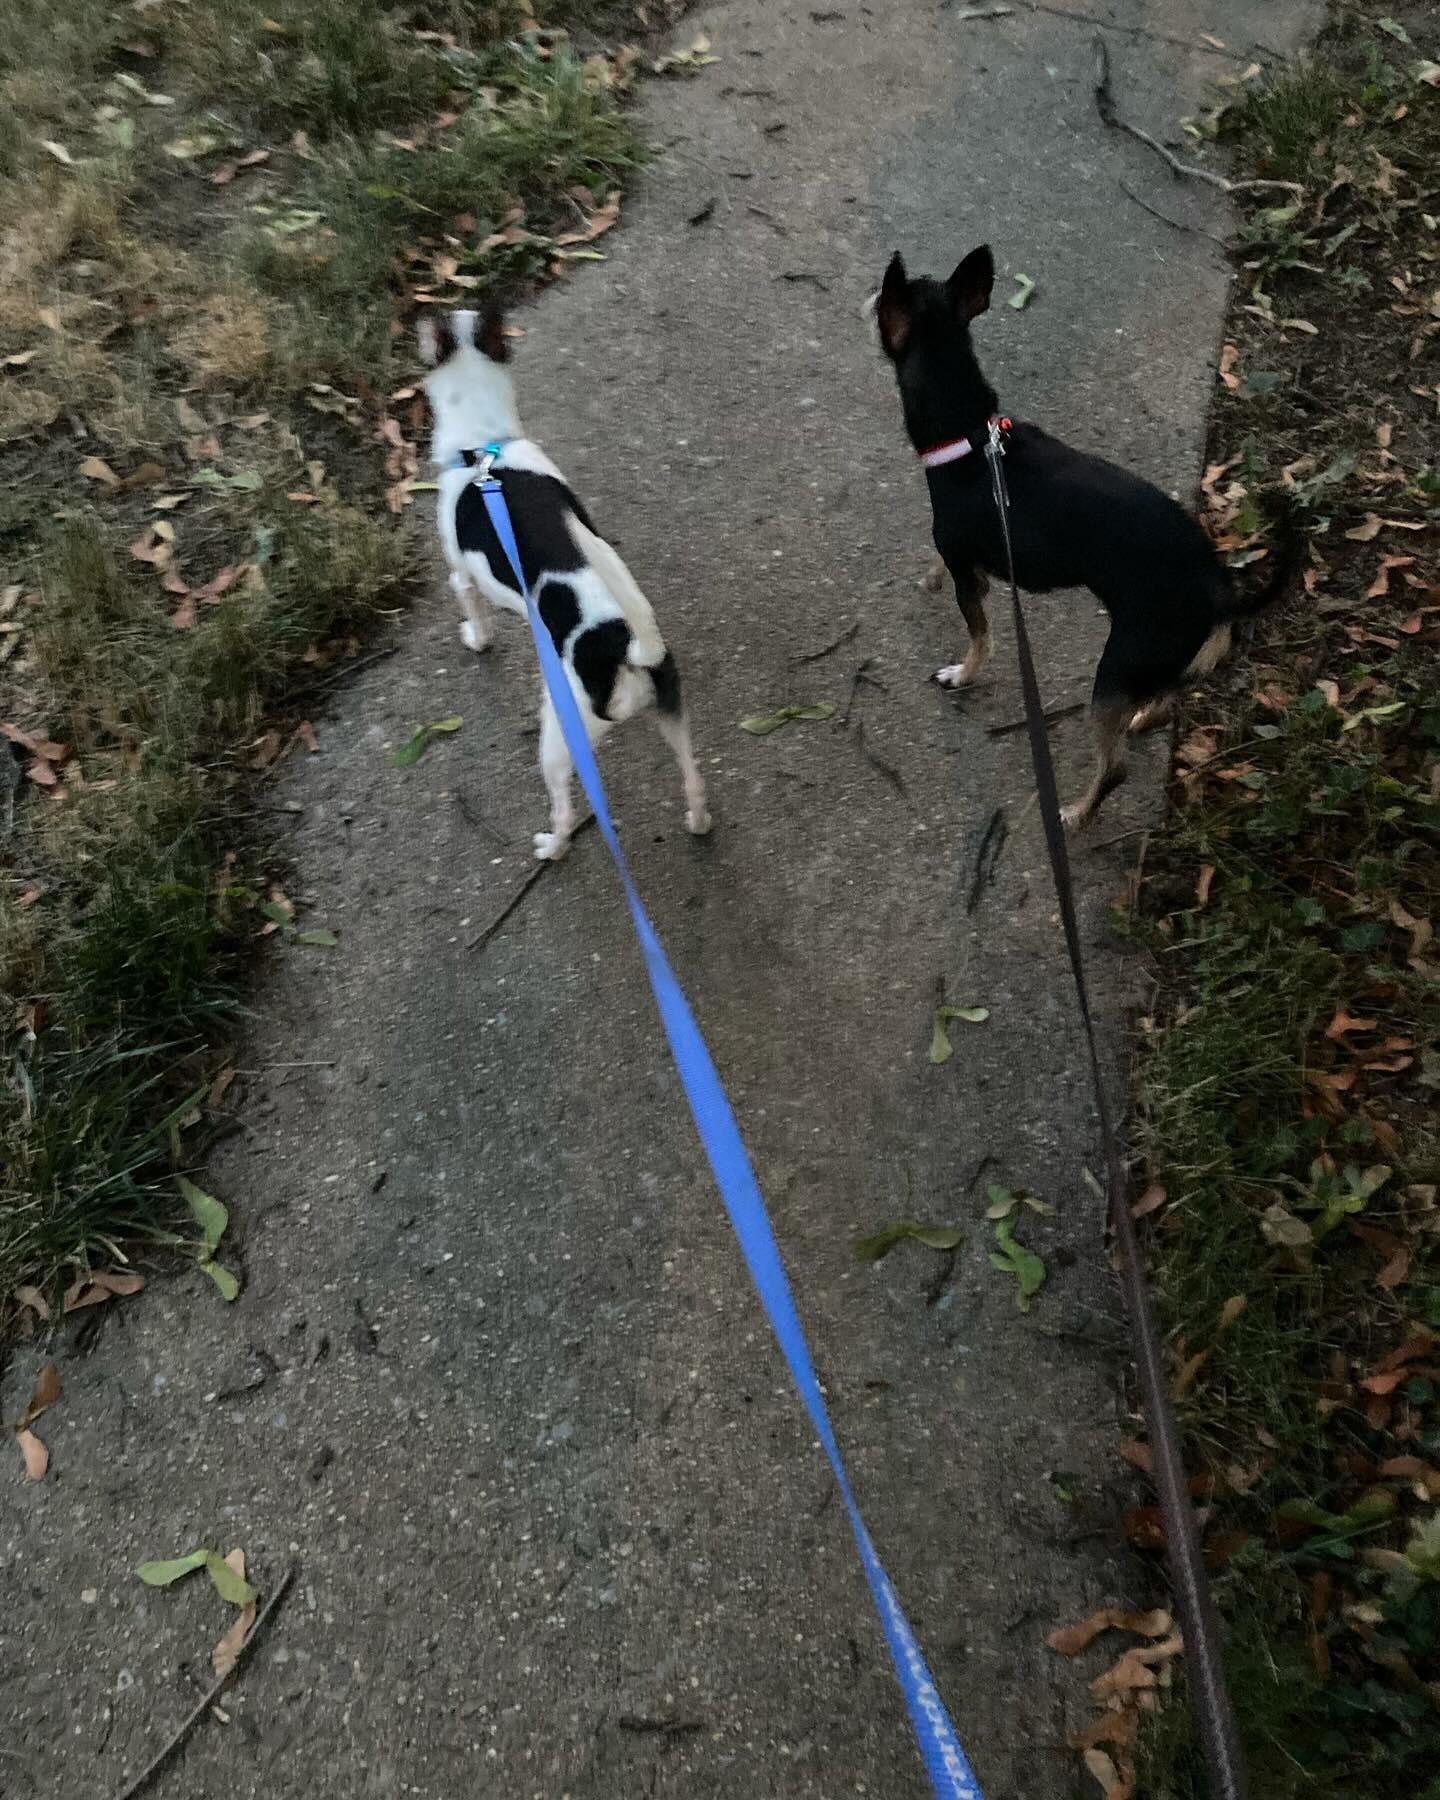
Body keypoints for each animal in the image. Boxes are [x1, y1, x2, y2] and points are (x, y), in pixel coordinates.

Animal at [415, 307, 709, 856]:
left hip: (557, 738)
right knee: (693, 779)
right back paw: (698, 821)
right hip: (672, 713)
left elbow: (475, 617)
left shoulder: (461, 576)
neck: (484, 448)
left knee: (565, 807)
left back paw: (553, 844)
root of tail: (628, 651)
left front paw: (476, 639)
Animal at [871, 243, 1296, 824]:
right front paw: (929, 577)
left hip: (1117, 667)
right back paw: (1140, 719)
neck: (969, 436)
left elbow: (979, 634)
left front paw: (962, 674)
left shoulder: (969, 575)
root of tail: (1222, 594)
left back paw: (1074, 815)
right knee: (1163, 701)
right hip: (1153, 668)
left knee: (1113, 767)